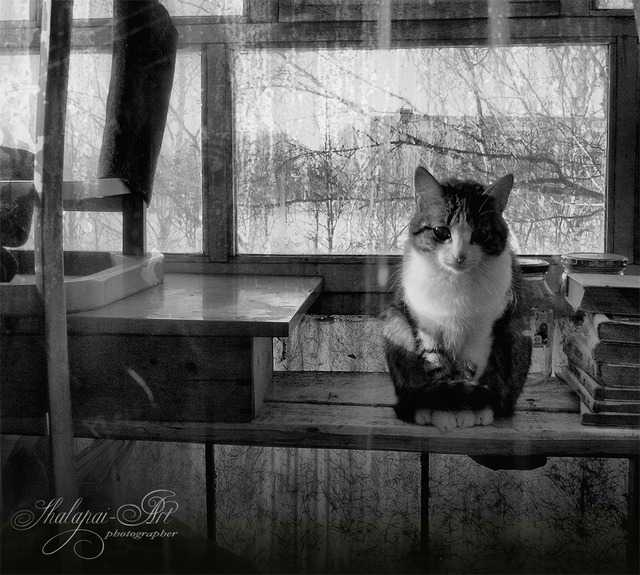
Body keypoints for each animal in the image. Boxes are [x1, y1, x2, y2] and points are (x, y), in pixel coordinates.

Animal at [382, 167, 532, 431]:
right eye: (441, 232)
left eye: (480, 234)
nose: (459, 256)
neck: (456, 284)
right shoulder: (427, 327)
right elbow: (438, 368)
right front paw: (445, 409)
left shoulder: (483, 331)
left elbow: (469, 370)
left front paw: (465, 409)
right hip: (395, 321)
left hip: (517, 330)